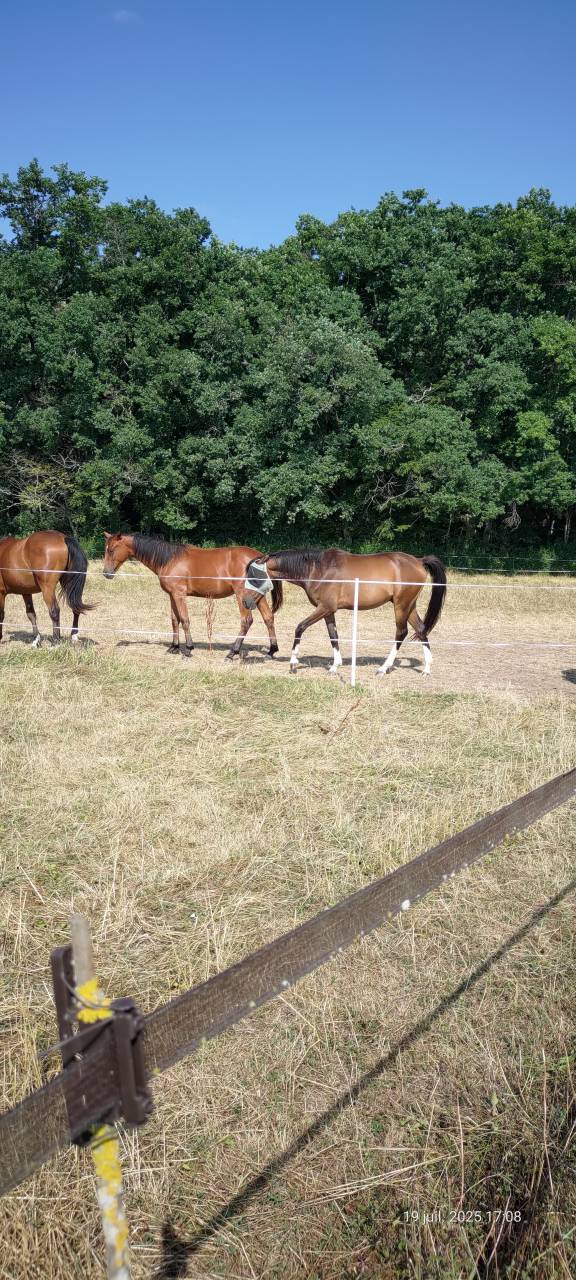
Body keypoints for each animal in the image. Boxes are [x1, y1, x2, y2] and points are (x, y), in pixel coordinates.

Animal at [102, 532, 284, 659]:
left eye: (111, 550)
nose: (106, 573)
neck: (169, 559)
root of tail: (260, 558)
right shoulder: (172, 595)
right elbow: (174, 620)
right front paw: (174, 647)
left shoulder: (179, 595)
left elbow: (184, 620)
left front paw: (188, 649)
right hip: (255, 596)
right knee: (268, 618)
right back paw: (272, 650)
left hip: (242, 595)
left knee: (246, 621)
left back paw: (233, 652)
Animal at [242, 547, 447, 675]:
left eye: (254, 576)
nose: (245, 601)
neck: (318, 570)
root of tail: (419, 561)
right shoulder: (328, 612)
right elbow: (334, 636)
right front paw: (335, 666)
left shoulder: (325, 607)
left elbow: (300, 628)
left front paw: (293, 663)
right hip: (408, 606)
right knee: (421, 629)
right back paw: (427, 669)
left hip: (401, 606)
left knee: (401, 633)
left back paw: (383, 668)